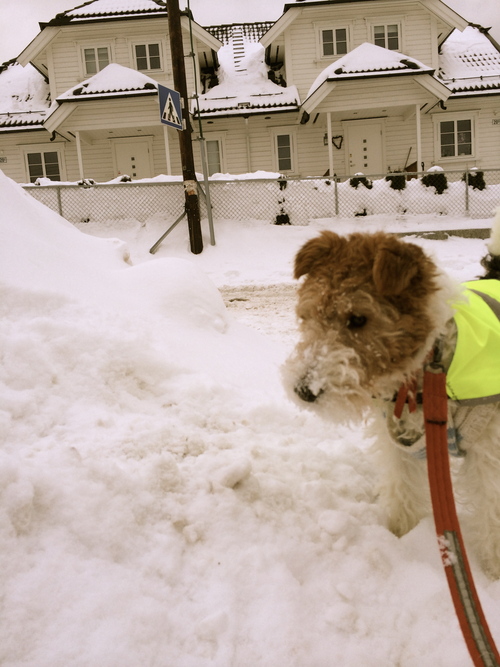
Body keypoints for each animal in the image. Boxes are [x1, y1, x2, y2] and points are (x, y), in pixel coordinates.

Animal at [286, 215, 500, 580]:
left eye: (358, 318)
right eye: (307, 315)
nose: (303, 390)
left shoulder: (490, 450)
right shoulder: (400, 442)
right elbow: (402, 492)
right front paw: (400, 538)